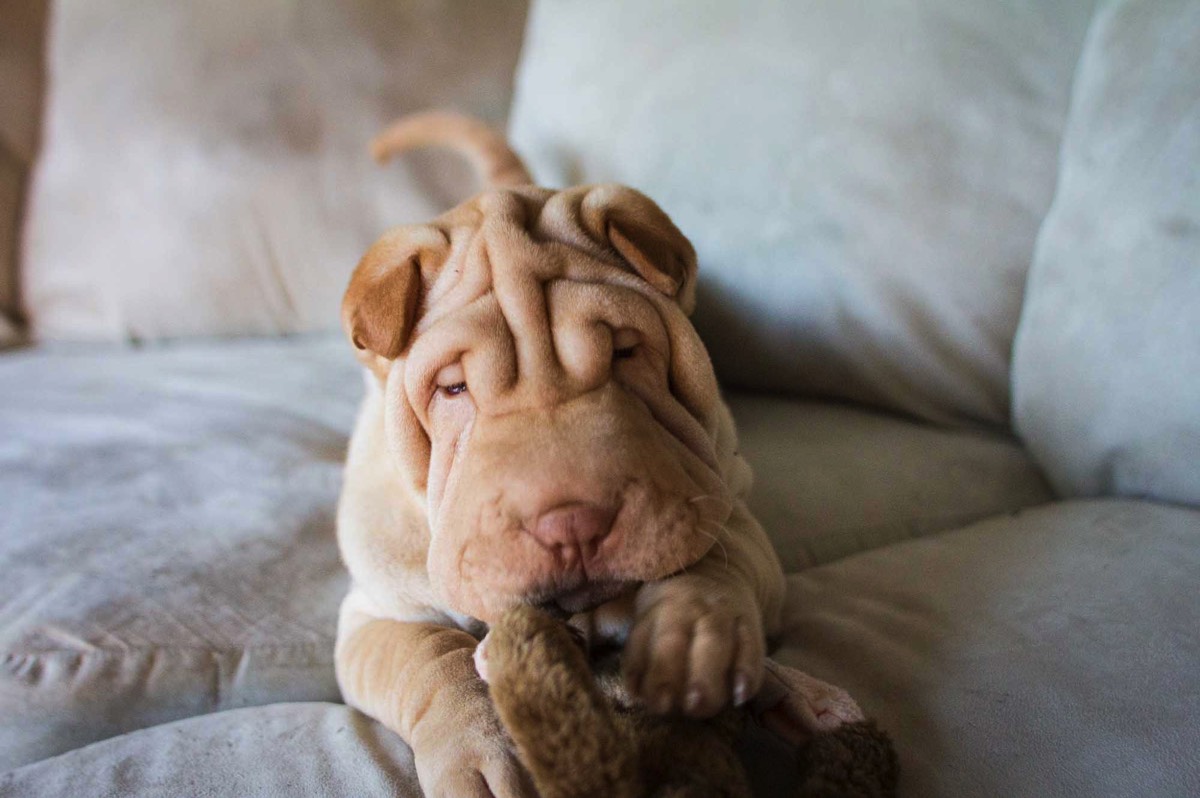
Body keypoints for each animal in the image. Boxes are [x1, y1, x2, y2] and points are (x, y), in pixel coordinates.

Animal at [334, 113, 845, 798]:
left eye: (625, 351)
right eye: (453, 388)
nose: (572, 524)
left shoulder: (730, 509)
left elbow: (715, 563)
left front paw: (692, 637)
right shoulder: (375, 614)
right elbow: (430, 658)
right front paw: (482, 752)